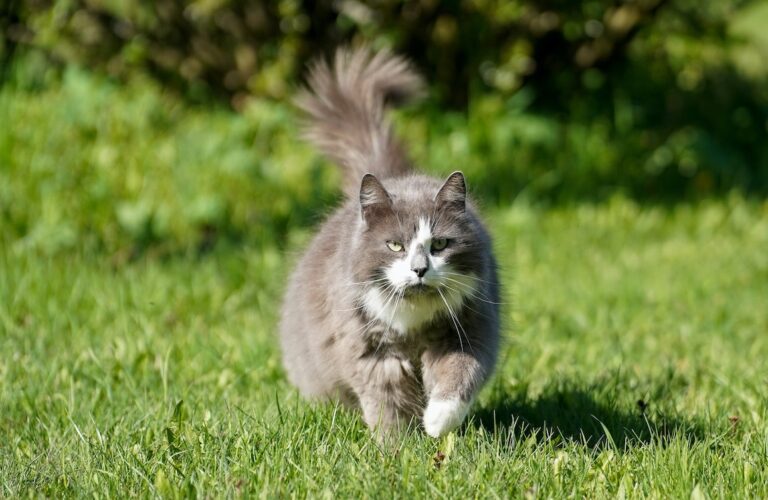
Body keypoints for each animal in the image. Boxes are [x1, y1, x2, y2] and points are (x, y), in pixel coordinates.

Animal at [280, 47, 500, 438]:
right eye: (395, 246)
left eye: (440, 244)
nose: (419, 269)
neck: (414, 324)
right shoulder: (372, 352)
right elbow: (388, 404)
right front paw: (397, 446)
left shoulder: (468, 330)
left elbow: (458, 376)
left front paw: (435, 423)